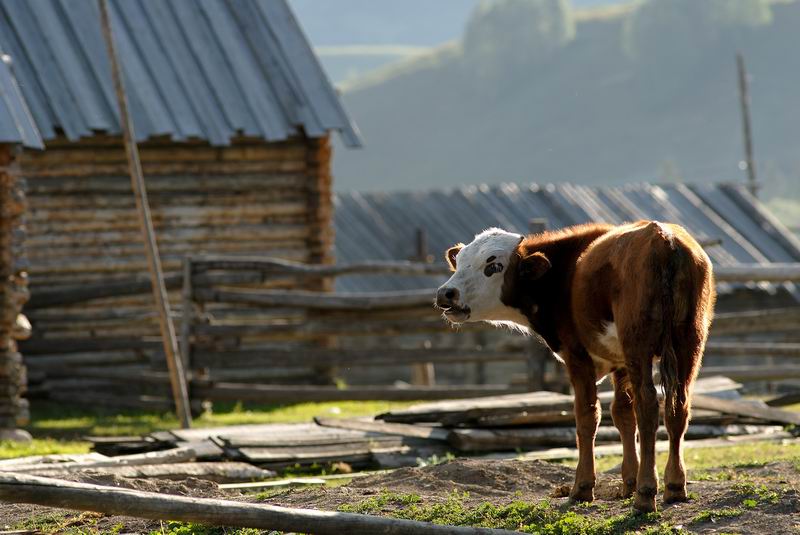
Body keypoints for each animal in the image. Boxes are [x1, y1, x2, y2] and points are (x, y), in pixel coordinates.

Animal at [434, 221, 716, 510]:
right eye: (460, 261)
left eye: (494, 265)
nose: (446, 293)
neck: (566, 273)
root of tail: (663, 238)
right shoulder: (621, 363)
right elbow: (622, 413)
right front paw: (628, 482)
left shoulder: (577, 355)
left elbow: (586, 416)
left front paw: (582, 487)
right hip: (689, 343)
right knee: (678, 408)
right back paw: (674, 486)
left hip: (639, 344)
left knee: (647, 406)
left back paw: (646, 493)